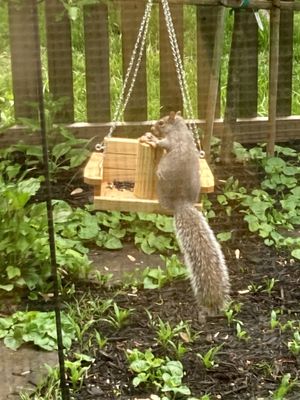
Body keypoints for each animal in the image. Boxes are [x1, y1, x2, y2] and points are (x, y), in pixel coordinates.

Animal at [142, 111, 231, 320]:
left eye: (161, 122)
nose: (151, 128)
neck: (180, 129)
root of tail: (181, 204)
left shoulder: (171, 141)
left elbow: (163, 144)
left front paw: (152, 139)